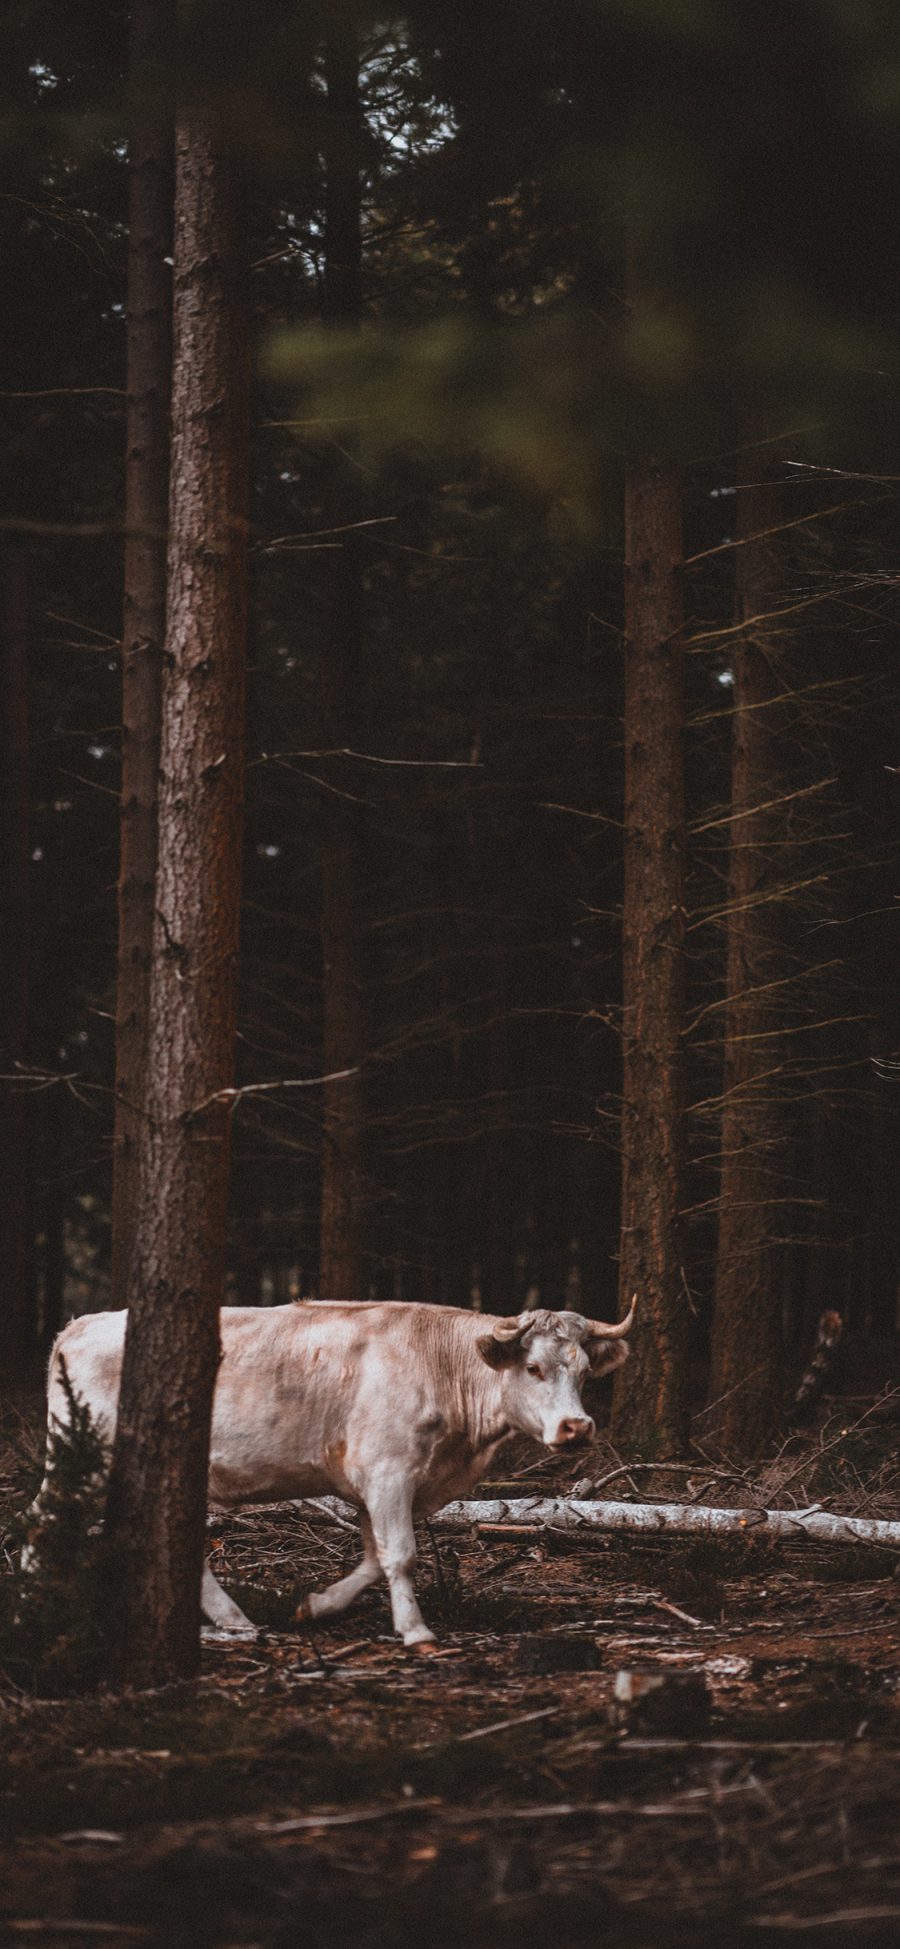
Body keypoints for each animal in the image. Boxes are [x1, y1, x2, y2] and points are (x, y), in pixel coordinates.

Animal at [38, 1301, 635, 1652]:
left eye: (585, 1371)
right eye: (532, 1368)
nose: (577, 1427)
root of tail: (79, 1326)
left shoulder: (378, 1483)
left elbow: (373, 1558)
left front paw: (317, 1606)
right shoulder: (389, 1471)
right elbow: (401, 1555)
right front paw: (416, 1632)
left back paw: (232, 1619)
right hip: (81, 1455)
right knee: (44, 1515)